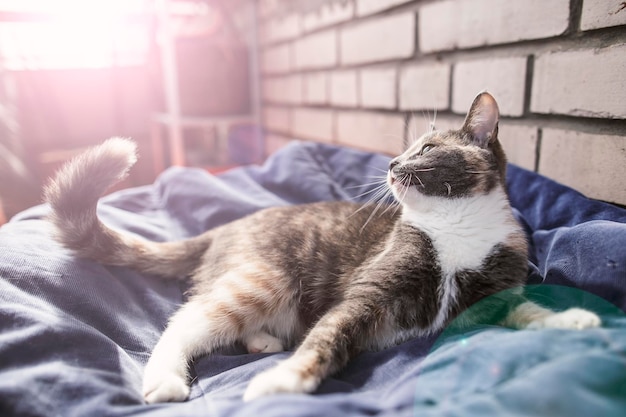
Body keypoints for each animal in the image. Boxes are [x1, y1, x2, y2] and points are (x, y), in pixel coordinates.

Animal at [45, 92, 600, 402]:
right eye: (403, 149)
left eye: (425, 148)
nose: (390, 165)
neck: (456, 228)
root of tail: (222, 229)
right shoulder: (368, 294)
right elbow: (327, 336)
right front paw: (284, 382)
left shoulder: (494, 290)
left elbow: (525, 312)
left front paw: (570, 319)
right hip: (264, 277)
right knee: (185, 321)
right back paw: (166, 379)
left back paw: (262, 342)